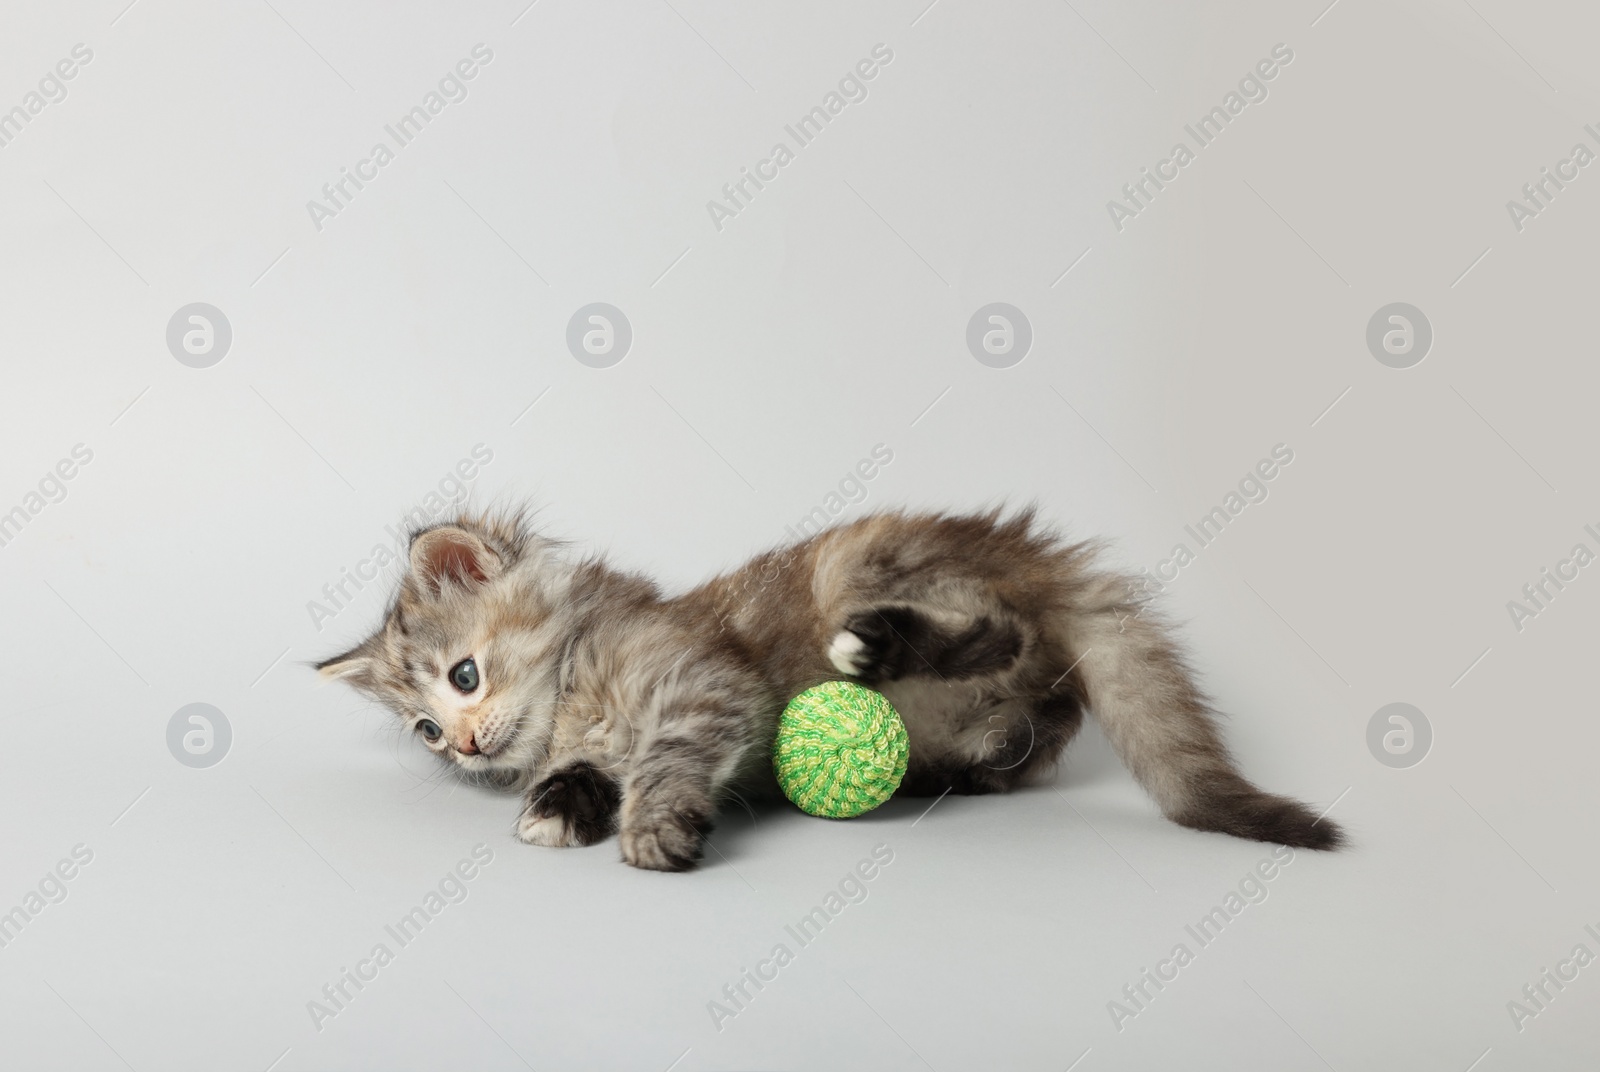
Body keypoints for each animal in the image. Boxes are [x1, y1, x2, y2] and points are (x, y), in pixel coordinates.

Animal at [318, 508, 1344, 870]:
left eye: (464, 675)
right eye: (424, 731)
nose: (464, 747)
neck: (578, 689)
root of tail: (1030, 554)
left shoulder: (702, 682)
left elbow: (668, 756)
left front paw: (652, 826)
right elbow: (591, 772)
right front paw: (561, 806)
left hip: (861, 566)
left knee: (1006, 629)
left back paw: (876, 650)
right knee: (1039, 723)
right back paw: (962, 762)